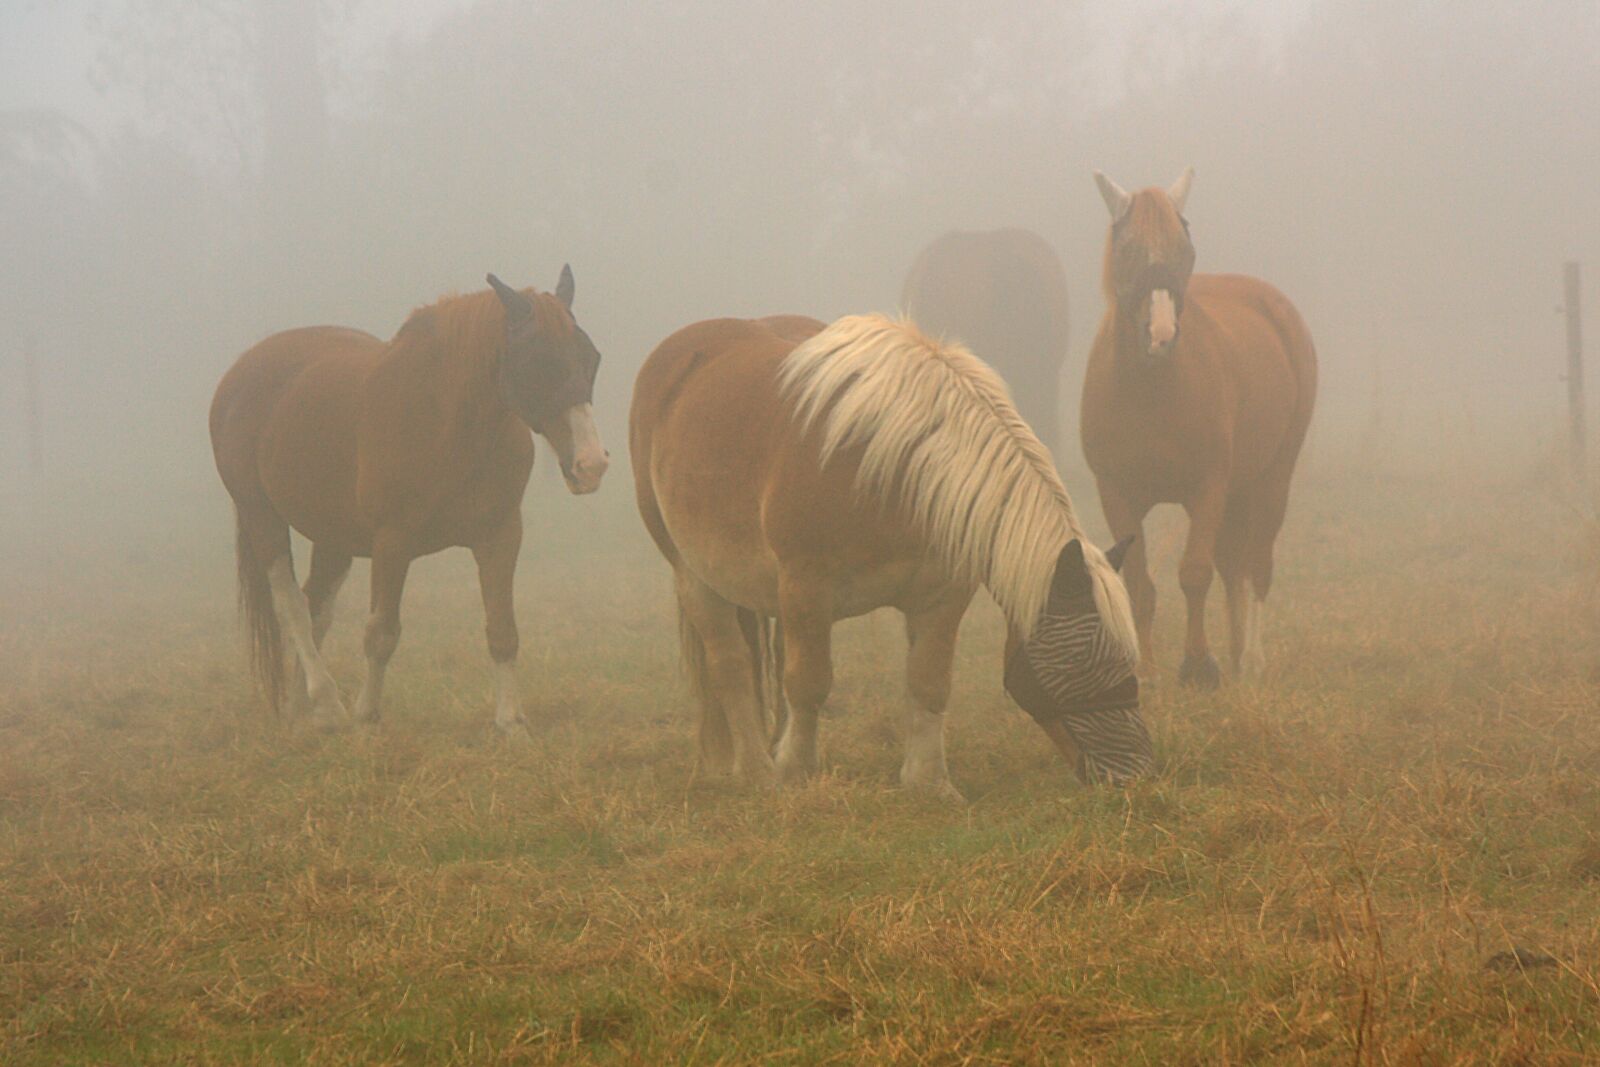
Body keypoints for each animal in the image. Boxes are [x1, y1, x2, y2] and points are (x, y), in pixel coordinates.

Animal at [209, 268, 609, 736]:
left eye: (592, 358)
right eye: (538, 361)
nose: (591, 464)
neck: (446, 422)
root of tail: (239, 373)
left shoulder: (501, 535)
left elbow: (502, 630)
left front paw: (511, 723)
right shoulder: (392, 542)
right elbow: (381, 633)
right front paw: (366, 717)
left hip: (334, 538)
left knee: (316, 608)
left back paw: (303, 711)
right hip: (262, 517)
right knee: (292, 607)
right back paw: (328, 704)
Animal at [630, 313, 1152, 799]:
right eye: (1084, 667)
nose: (1132, 776)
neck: (898, 470)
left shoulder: (941, 597)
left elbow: (928, 684)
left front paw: (929, 783)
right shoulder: (805, 587)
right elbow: (808, 683)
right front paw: (794, 774)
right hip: (695, 574)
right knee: (732, 666)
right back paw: (759, 771)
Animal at [1080, 170, 1317, 687]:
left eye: (1185, 251)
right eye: (1127, 249)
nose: (1162, 336)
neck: (1151, 392)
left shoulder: (1208, 487)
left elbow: (1194, 573)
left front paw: (1197, 666)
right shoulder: (1116, 493)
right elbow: (1140, 583)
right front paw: (1146, 673)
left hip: (1271, 480)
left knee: (1255, 564)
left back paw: (1250, 659)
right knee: (1233, 566)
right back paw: (1235, 653)